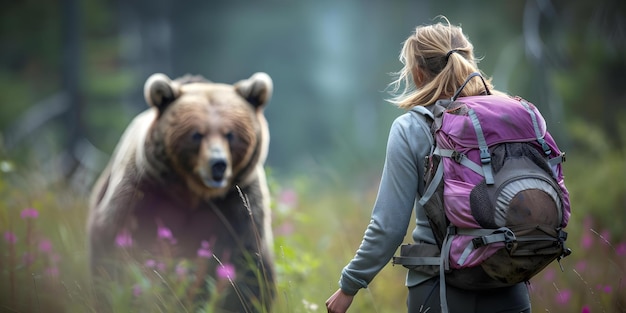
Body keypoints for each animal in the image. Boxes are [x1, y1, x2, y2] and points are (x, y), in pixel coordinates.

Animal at [86, 72, 274, 310]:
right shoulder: (144, 191)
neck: (192, 192)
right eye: (197, 134)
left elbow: (247, 259)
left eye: (230, 134)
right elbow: (118, 241)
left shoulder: (236, 202)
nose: (218, 164)